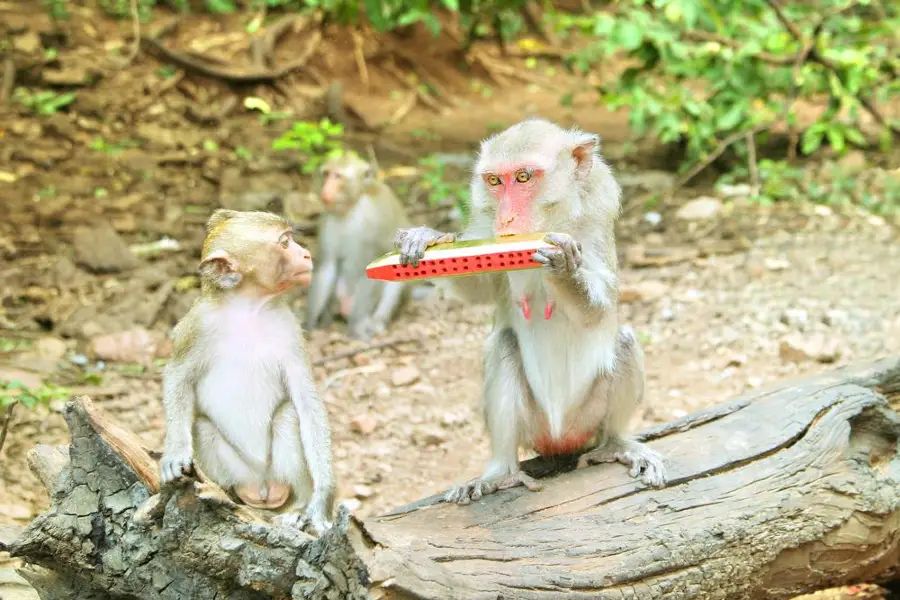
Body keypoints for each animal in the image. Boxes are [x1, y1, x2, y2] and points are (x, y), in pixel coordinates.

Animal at [160, 209, 336, 532]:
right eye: (284, 243)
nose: (306, 254)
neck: (248, 308)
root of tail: (262, 489)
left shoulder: (289, 330)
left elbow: (306, 401)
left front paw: (321, 500)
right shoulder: (196, 325)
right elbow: (177, 376)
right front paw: (175, 452)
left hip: (276, 476)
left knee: (289, 417)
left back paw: (297, 509)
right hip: (241, 473)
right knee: (202, 428)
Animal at [304, 152, 414, 340]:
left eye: (338, 176)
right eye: (326, 174)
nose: (326, 190)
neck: (352, 206)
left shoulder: (374, 221)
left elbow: (371, 268)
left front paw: (355, 331)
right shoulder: (327, 219)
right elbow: (328, 267)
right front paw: (308, 325)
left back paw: (375, 322)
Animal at [396, 119, 668, 504]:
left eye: (524, 177)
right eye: (495, 181)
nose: (506, 217)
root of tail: (559, 437)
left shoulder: (597, 213)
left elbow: (600, 309)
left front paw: (565, 269)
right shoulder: (487, 229)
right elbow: (478, 286)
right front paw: (428, 239)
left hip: (588, 418)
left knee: (625, 340)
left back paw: (617, 443)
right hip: (533, 424)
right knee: (503, 345)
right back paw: (501, 473)